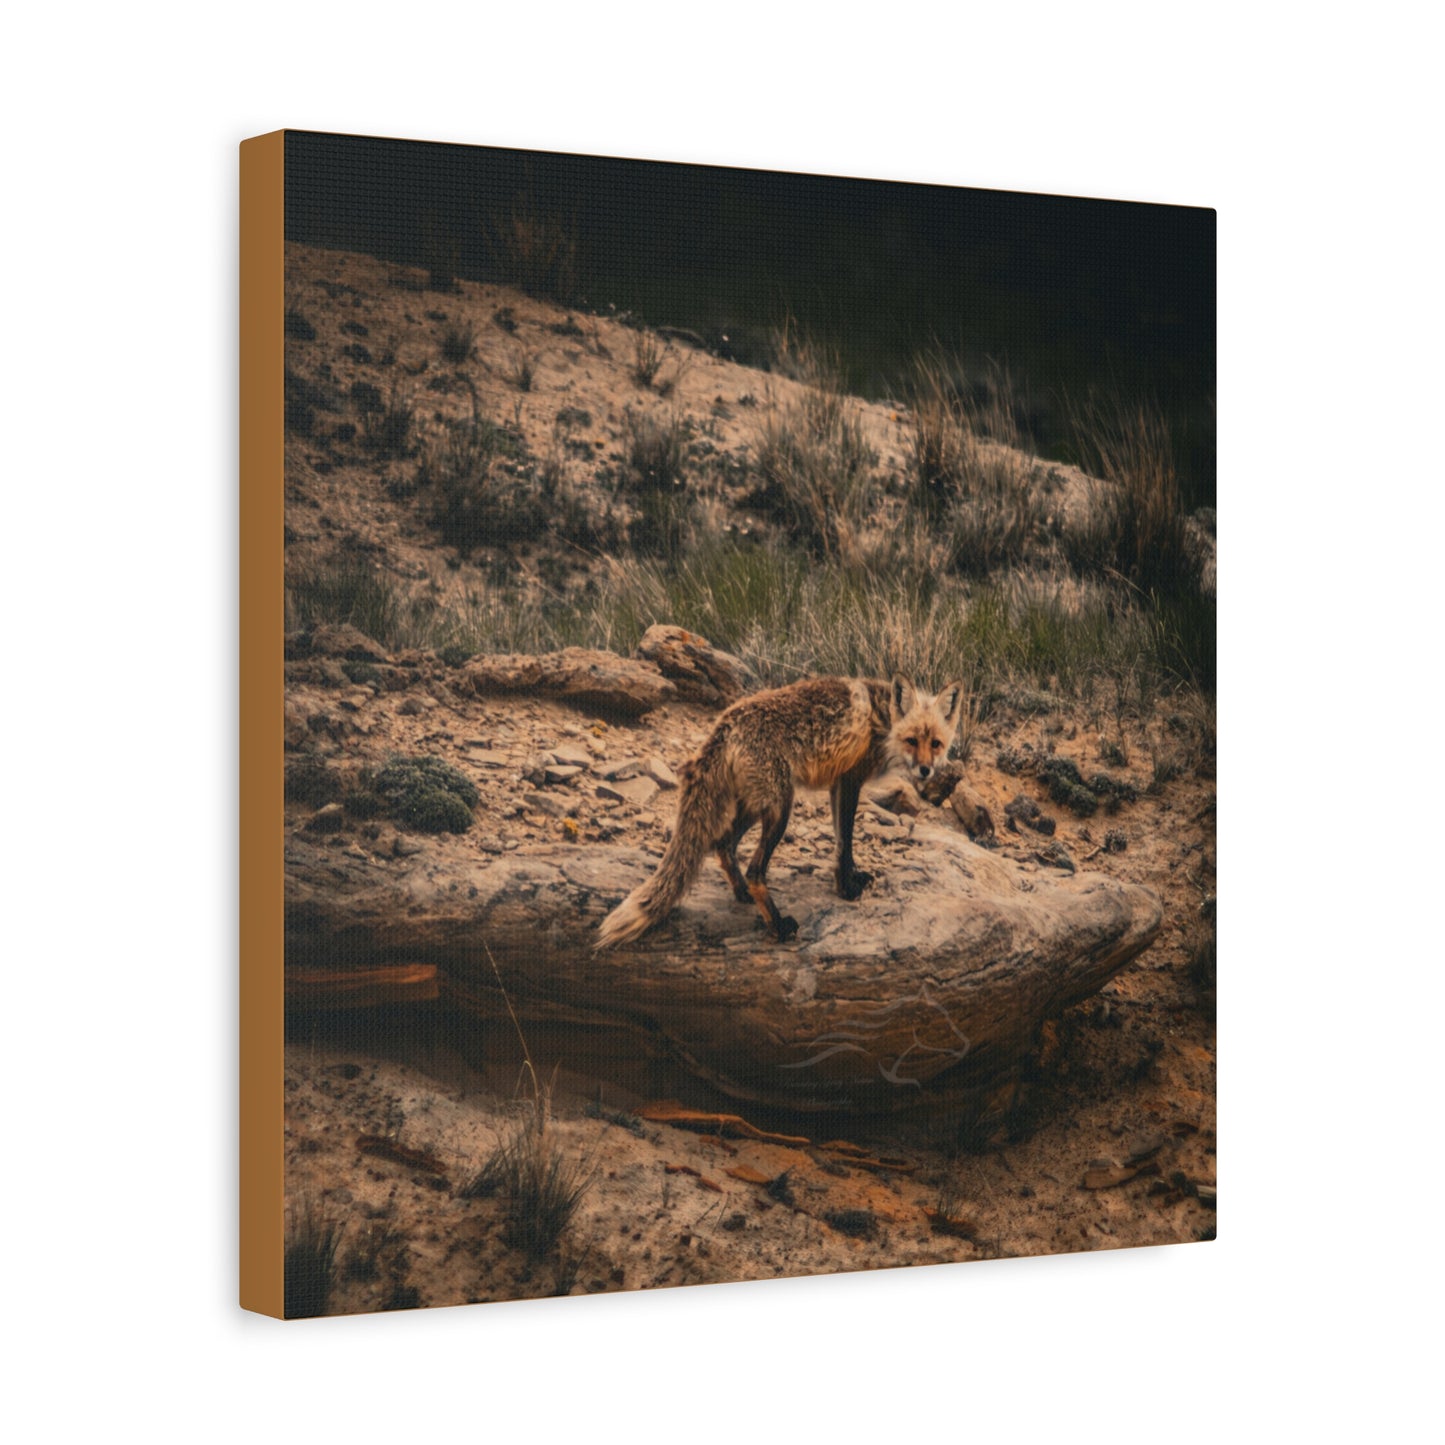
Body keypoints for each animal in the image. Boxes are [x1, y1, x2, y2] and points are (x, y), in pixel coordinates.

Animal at [594, 674, 965, 949]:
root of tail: (725, 724)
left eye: (936, 744)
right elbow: (845, 842)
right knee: (756, 870)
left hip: (754, 806)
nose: (925, 771)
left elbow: (841, 844)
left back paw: (741, 893)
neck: (883, 721)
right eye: (912, 740)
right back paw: (777, 925)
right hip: (780, 808)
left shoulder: (837, 785)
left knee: (723, 844)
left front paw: (851, 877)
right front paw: (846, 890)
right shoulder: (850, 780)